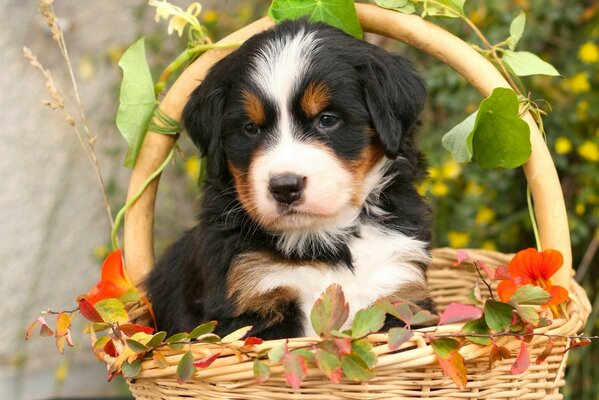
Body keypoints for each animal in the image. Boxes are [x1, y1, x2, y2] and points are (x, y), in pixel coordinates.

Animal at [148, 18, 434, 338]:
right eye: (250, 128)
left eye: (327, 119)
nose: (285, 187)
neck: (322, 240)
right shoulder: (250, 296)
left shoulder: (399, 288)